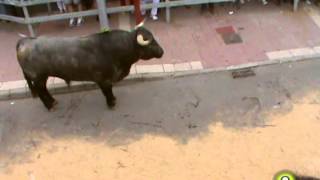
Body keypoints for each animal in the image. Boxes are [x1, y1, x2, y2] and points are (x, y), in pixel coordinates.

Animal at [16, 25, 164, 109]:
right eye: (150, 42)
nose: (162, 51)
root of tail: (26, 41)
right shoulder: (103, 80)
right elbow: (107, 91)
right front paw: (111, 103)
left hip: (43, 77)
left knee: (44, 90)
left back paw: (53, 101)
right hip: (38, 77)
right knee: (41, 91)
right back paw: (49, 106)